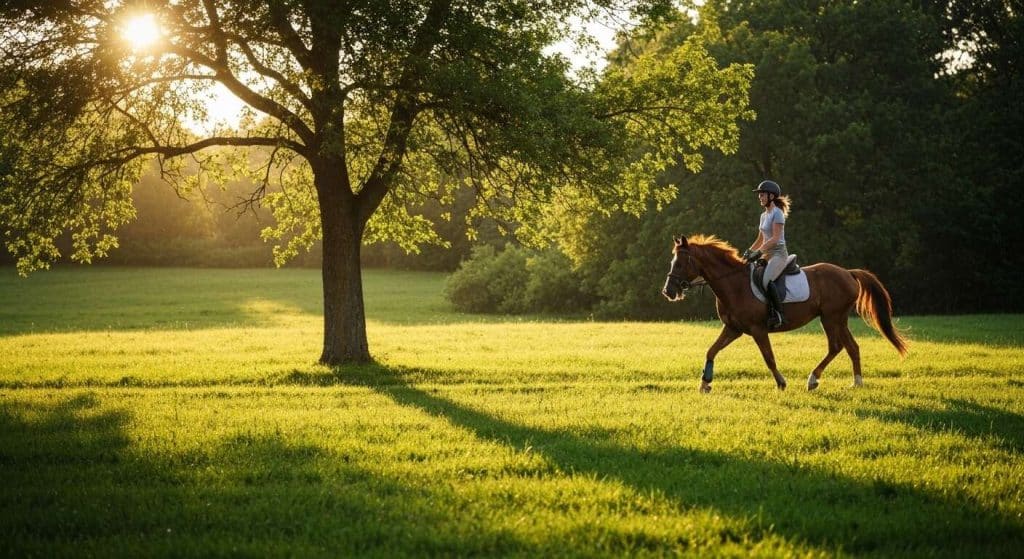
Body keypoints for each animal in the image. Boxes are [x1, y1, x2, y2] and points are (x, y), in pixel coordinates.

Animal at [662, 235, 907, 392]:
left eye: (681, 263)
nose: (668, 291)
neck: (734, 283)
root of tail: (847, 272)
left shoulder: (758, 330)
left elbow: (769, 358)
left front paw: (781, 383)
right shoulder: (733, 329)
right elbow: (711, 351)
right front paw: (705, 383)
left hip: (831, 318)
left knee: (836, 346)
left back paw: (813, 380)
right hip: (839, 319)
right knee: (852, 347)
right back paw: (856, 383)